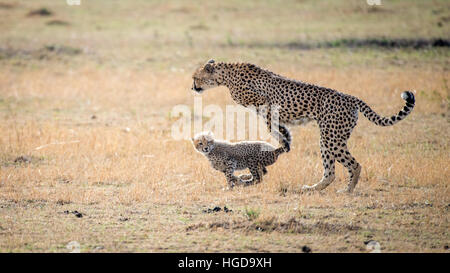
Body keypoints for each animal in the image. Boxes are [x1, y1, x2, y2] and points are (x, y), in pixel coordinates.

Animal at [192, 59, 416, 191]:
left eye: (196, 77)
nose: (193, 87)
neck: (225, 75)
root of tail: (351, 97)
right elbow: (280, 130)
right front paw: (284, 142)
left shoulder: (266, 103)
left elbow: (271, 126)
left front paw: (280, 142)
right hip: (327, 140)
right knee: (330, 171)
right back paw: (313, 188)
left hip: (332, 138)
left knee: (355, 164)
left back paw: (348, 190)